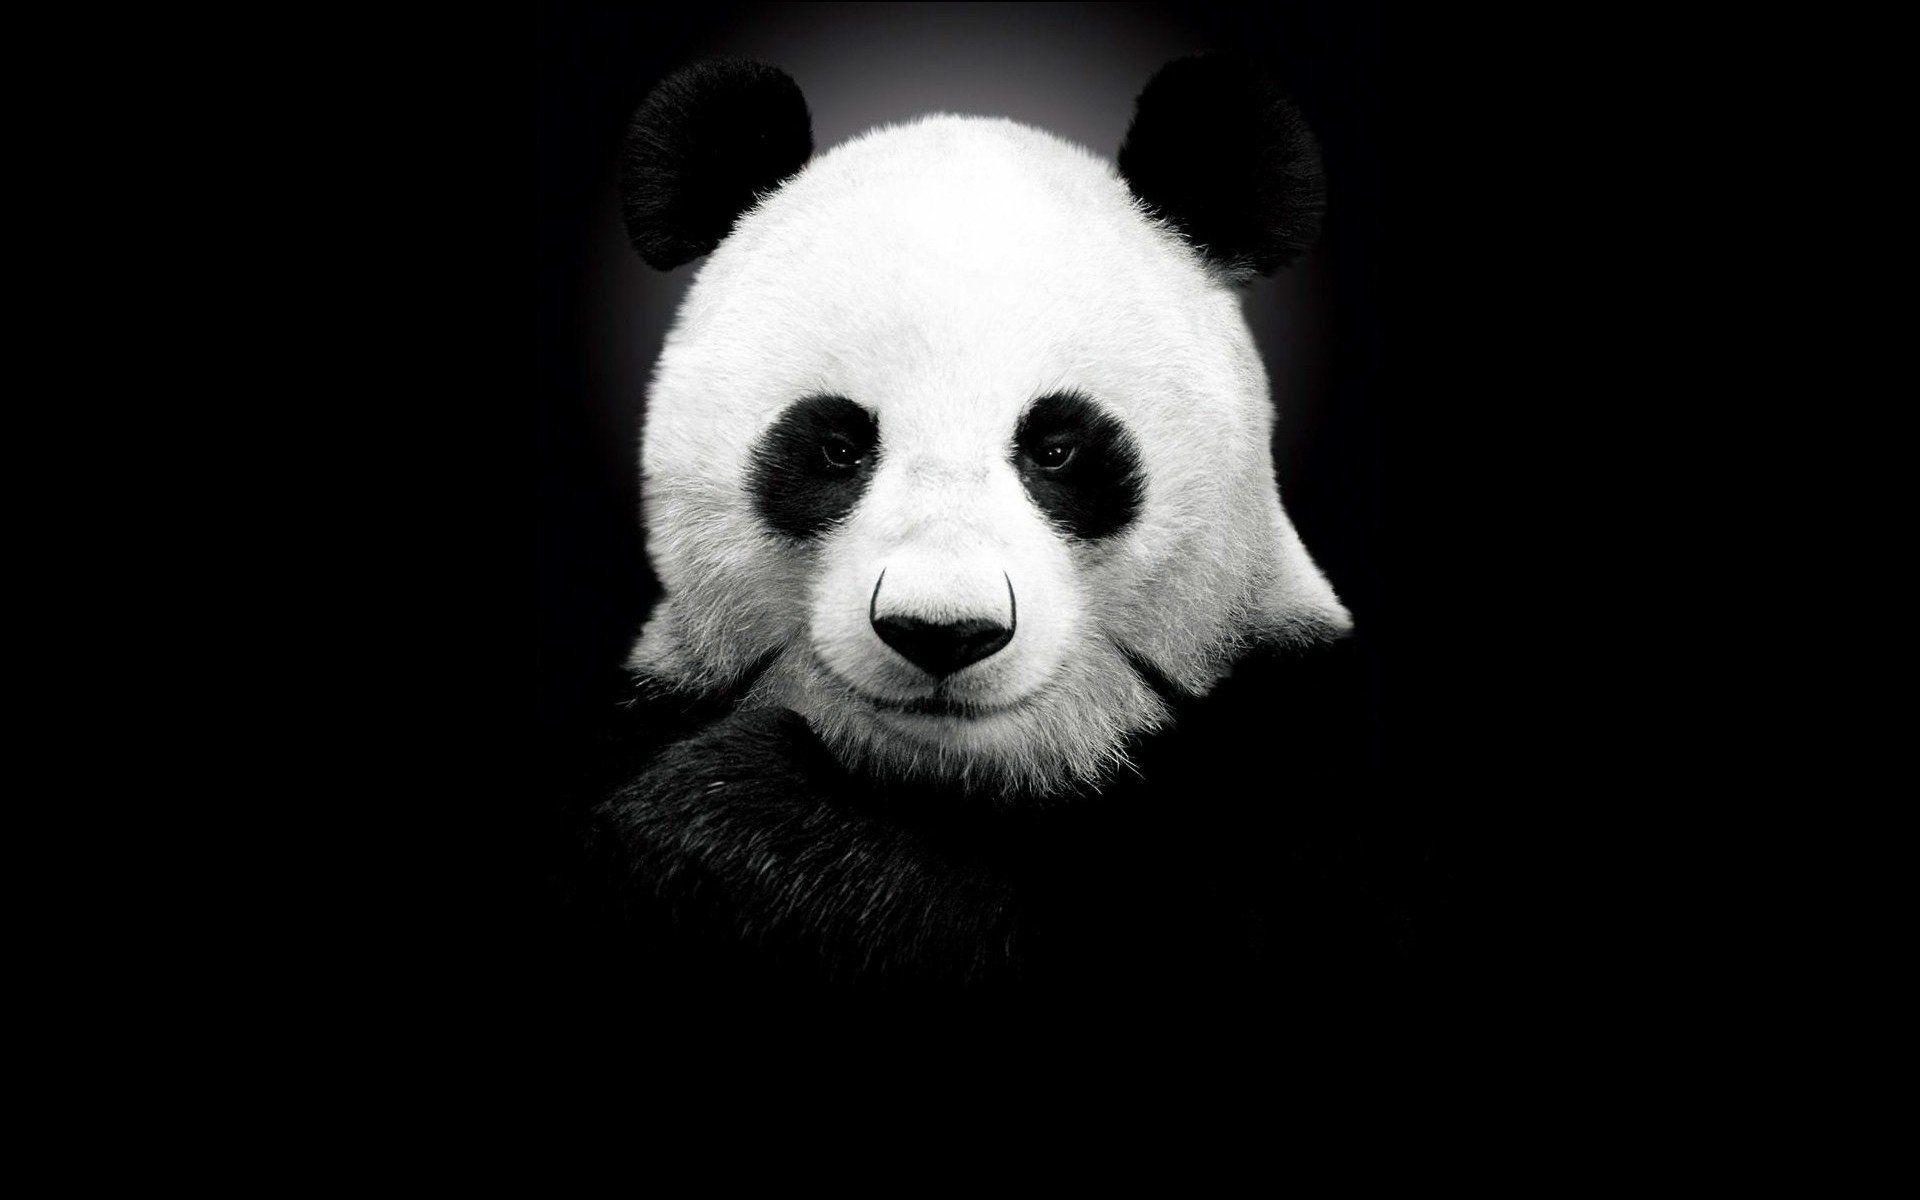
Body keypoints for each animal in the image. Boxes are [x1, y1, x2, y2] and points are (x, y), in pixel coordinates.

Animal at [568, 55, 1434, 990]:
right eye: (837, 447)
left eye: (1056, 449)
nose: (942, 632)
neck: (957, 779)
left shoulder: (1296, 764)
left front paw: (733, 824)